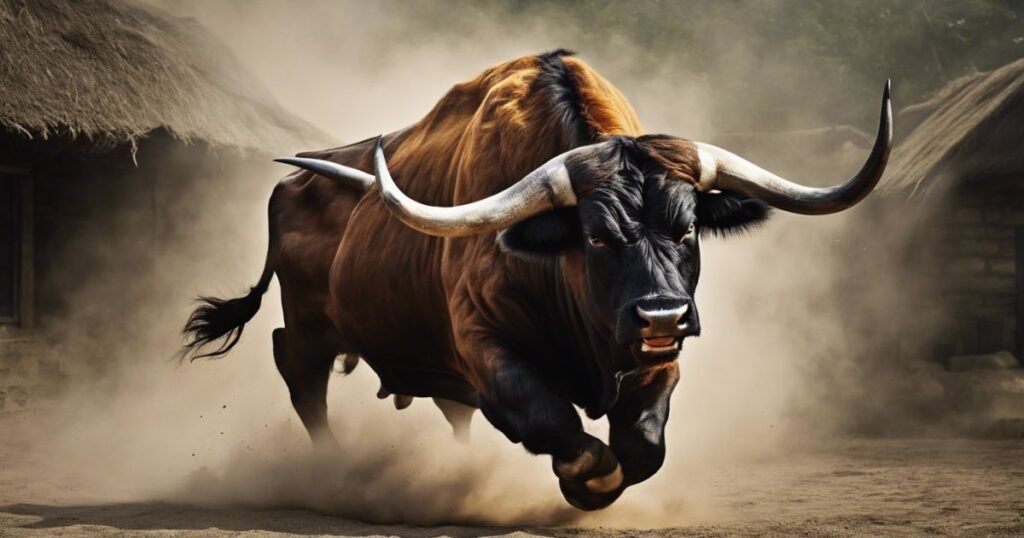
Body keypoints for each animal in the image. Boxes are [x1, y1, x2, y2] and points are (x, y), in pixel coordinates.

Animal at [183, 50, 891, 510]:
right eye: (597, 236)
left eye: (688, 229)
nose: (662, 314)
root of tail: (293, 183)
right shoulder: (485, 349)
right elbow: (561, 428)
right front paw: (586, 481)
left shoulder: (657, 359)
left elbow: (644, 446)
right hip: (309, 323)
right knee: (300, 374)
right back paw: (333, 471)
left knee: (443, 409)